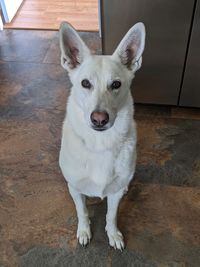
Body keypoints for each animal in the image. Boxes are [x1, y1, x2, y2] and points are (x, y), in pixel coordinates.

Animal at [59, 21, 145, 251]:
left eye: (116, 84)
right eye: (85, 83)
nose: (99, 119)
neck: (100, 144)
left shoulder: (114, 193)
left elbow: (111, 215)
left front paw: (113, 234)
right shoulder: (75, 189)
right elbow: (82, 211)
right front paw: (84, 231)